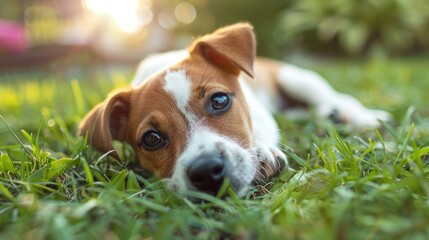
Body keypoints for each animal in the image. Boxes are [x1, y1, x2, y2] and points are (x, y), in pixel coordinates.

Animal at [78, 23, 390, 197]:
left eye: (219, 101)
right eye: (151, 139)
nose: (206, 172)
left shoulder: (259, 113)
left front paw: (262, 153)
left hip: (297, 78)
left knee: (335, 96)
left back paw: (359, 116)